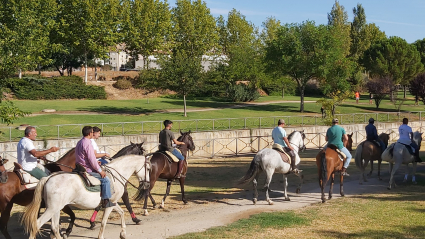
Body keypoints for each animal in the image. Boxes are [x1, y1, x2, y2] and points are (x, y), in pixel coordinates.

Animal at [22, 155, 151, 239]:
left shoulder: (112, 203)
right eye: (148, 169)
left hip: (56, 209)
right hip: (51, 209)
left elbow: (122, 213)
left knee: (54, 228)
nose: (147, 184)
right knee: (37, 224)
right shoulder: (110, 205)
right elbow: (104, 222)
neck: (115, 175)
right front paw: (101, 236)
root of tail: (48, 178)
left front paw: (123, 233)